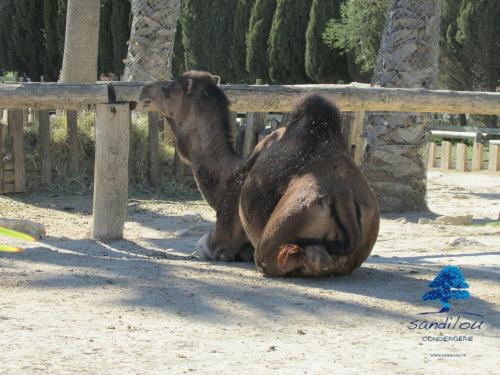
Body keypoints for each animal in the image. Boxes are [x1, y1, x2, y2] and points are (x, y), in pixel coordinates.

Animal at [138, 71, 378, 276]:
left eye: (169, 88)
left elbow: (202, 246)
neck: (227, 177)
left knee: (291, 255)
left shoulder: (222, 236)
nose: (143, 92)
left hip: (284, 226)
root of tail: (343, 197)